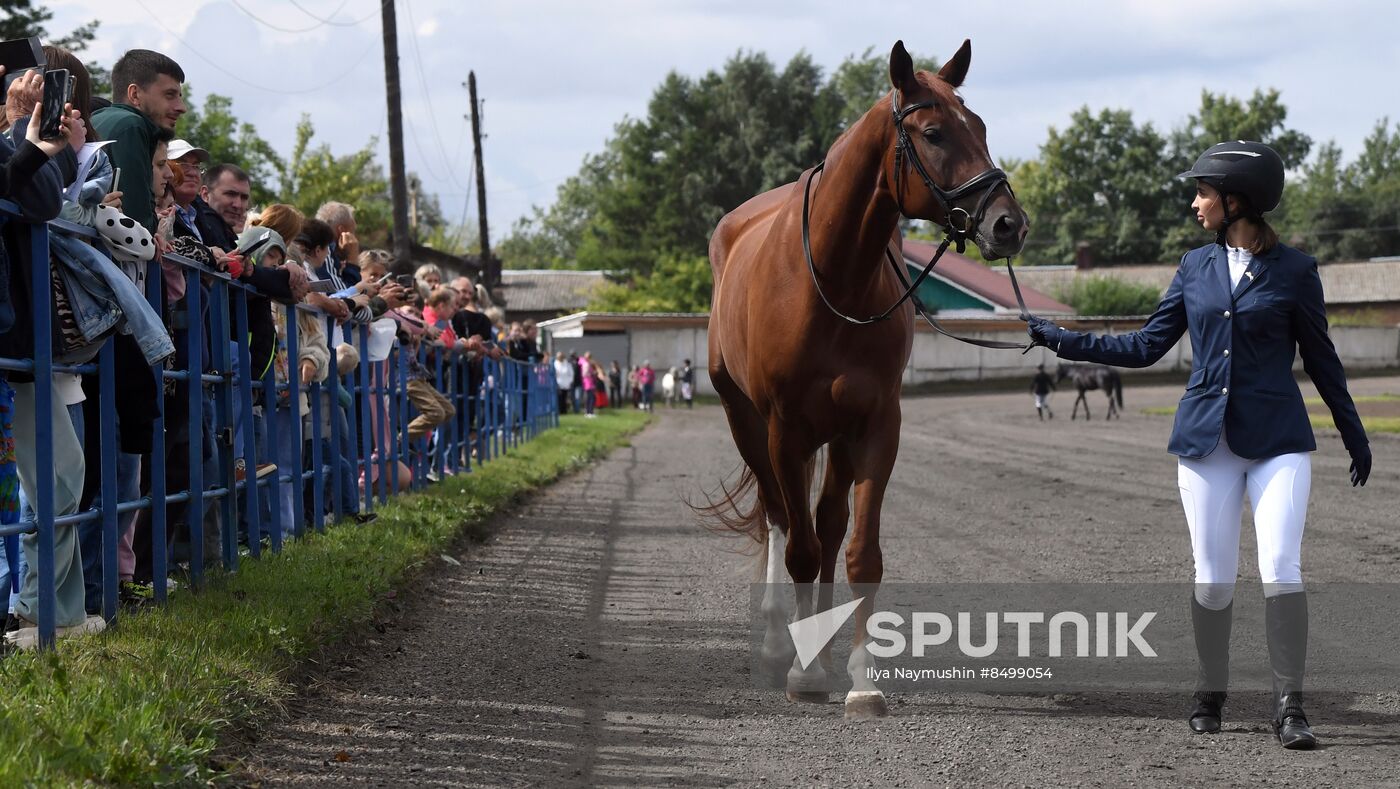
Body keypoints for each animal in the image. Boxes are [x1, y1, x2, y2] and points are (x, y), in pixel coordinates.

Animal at [711, 43, 1030, 721]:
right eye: (934, 132)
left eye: (981, 126)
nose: (1008, 224)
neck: (833, 281)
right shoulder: (785, 431)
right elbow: (800, 549)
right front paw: (804, 673)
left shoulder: (877, 424)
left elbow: (859, 551)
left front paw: (861, 678)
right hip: (745, 421)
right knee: (781, 521)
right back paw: (780, 644)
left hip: (835, 435)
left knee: (827, 526)